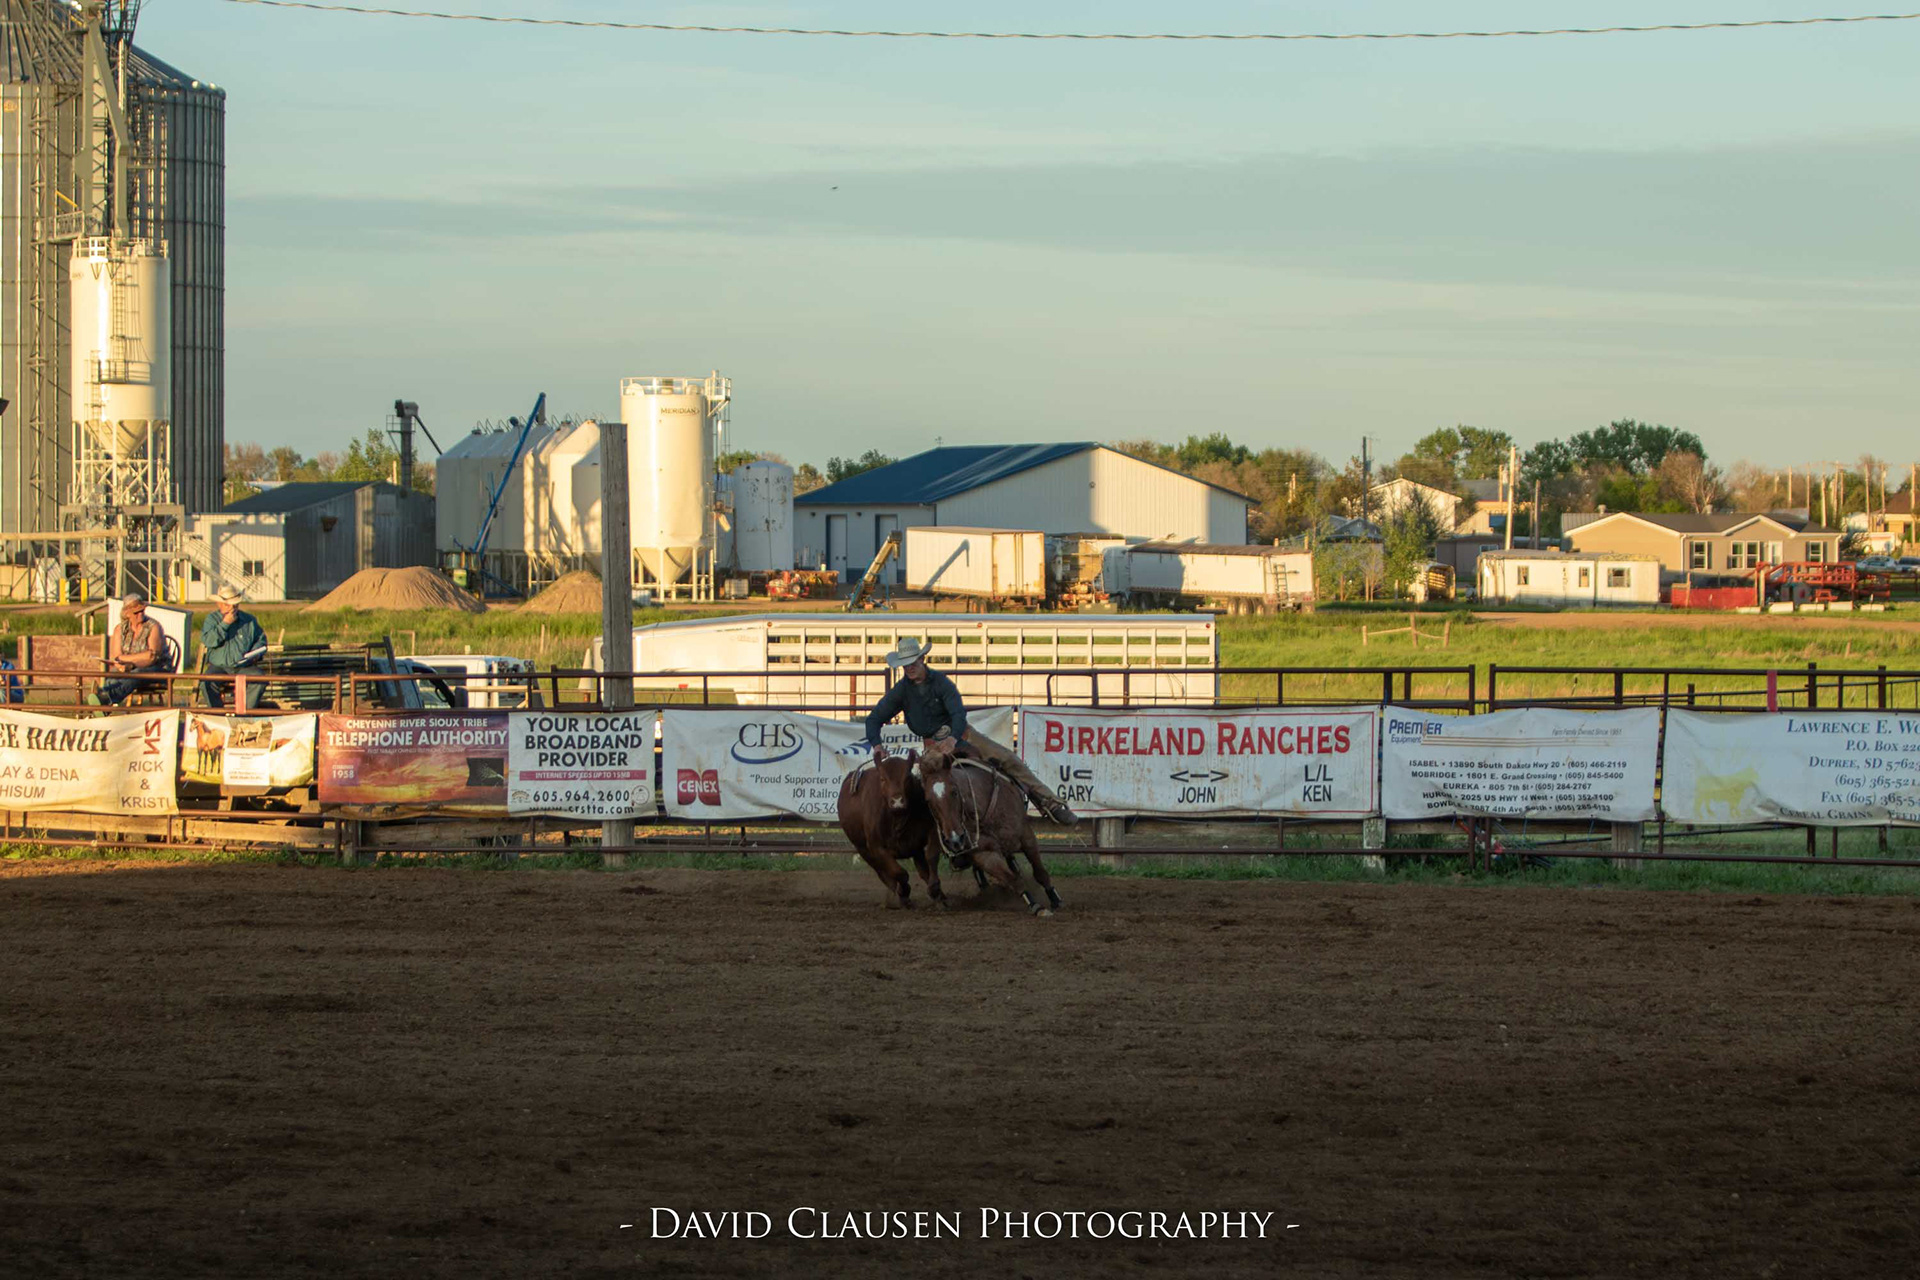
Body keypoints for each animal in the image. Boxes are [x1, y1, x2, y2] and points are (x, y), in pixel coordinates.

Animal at [837, 752, 950, 910]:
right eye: (883, 779)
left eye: (908, 777)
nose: (897, 802)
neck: (898, 818)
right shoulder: (876, 847)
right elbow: (899, 873)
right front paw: (904, 893)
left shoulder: (932, 830)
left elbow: (932, 857)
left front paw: (936, 891)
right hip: (863, 850)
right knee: (883, 873)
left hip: (915, 849)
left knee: (922, 870)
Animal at [912, 745, 1063, 918]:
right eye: (928, 801)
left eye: (954, 792)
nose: (956, 840)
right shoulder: (984, 854)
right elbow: (1012, 879)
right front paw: (1036, 905)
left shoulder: (1026, 836)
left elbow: (1040, 872)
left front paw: (1055, 899)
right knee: (931, 858)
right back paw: (937, 891)